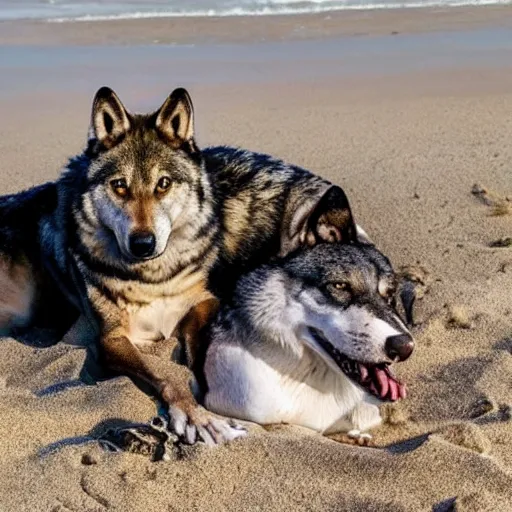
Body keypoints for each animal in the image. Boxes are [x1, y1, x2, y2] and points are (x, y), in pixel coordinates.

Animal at [0, 86, 364, 442]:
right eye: (119, 186)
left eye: (163, 184)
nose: (143, 244)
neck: (154, 278)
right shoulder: (112, 339)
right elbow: (166, 373)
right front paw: (197, 416)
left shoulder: (206, 302)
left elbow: (194, 348)